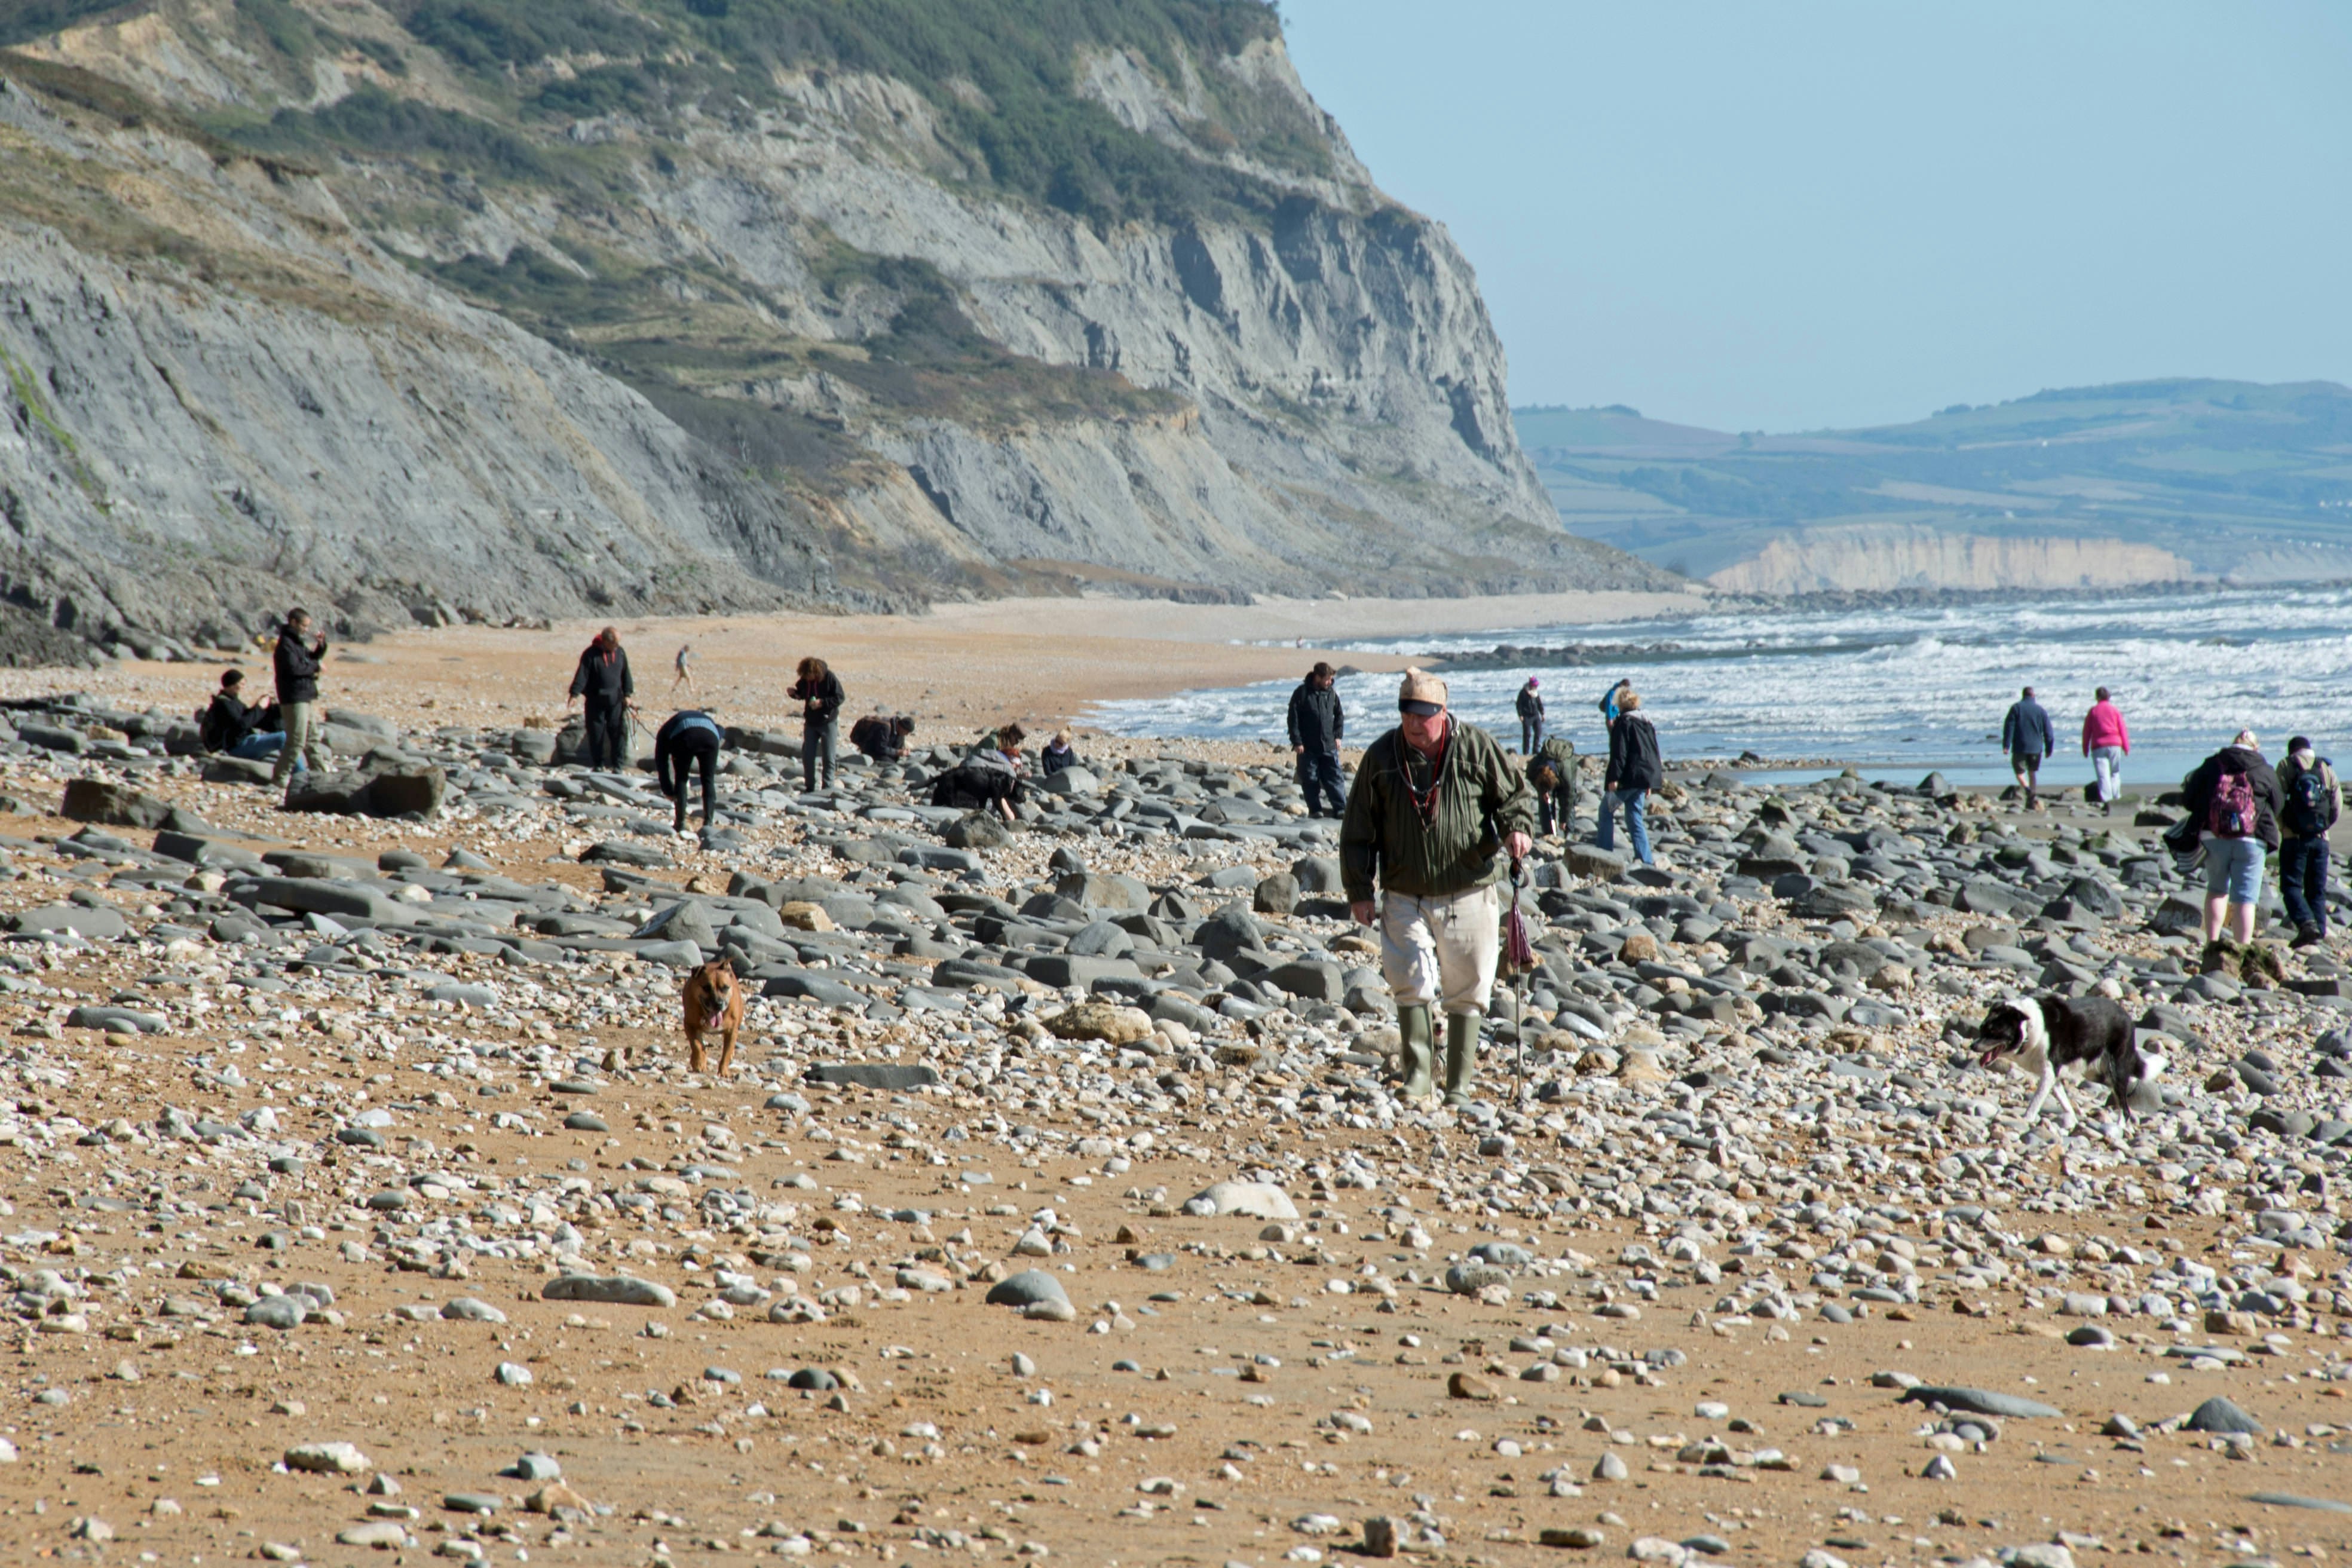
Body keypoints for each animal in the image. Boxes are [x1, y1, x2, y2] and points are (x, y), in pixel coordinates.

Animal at [682, 959, 743, 1081]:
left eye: (725, 988)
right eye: (706, 988)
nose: (719, 1004)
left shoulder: (732, 1031)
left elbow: (727, 1052)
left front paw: (724, 1071)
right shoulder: (690, 1025)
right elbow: (697, 1045)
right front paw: (699, 1063)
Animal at [1966, 992, 2164, 1128]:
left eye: (1994, 1032)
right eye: (1982, 1029)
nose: (1973, 1047)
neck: (2029, 1029)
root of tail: (2129, 1019)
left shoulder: (2048, 1073)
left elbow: (2035, 1102)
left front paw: (2026, 1120)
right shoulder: (2055, 1076)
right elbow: (2064, 1102)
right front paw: (2072, 1120)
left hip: (2116, 1069)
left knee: (2125, 1106)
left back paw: (2119, 1127)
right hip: (2096, 1073)